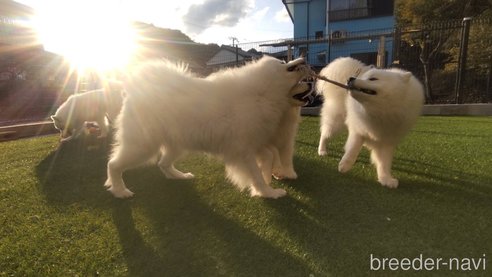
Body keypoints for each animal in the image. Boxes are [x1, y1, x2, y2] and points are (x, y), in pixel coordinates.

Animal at [106, 56, 312, 198]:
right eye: (284, 63)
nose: (304, 59)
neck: (261, 93)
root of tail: (133, 91)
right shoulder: (244, 151)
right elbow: (257, 175)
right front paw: (269, 192)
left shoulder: (256, 143)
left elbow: (270, 155)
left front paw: (271, 176)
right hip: (142, 147)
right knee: (113, 164)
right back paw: (120, 191)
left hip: (177, 145)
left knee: (162, 164)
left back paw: (180, 176)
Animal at [318, 58, 424, 188]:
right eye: (366, 78)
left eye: (373, 79)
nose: (350, 79)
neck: (380, 111)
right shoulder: (358, 130)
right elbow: (353, 148)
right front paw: (345, 165)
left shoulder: (386, 140)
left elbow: (384, 162)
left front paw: (385, 179)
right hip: (336, 122)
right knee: (325, 134)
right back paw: (322, 150)